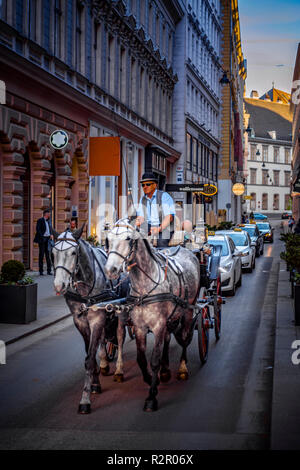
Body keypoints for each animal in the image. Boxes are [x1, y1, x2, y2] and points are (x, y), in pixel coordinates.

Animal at [52, 228, 127, 414]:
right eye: (53, 253)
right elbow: (90, 356)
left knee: (120, 337)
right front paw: (95, 384)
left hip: (121, 313)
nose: (59, 285)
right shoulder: (80, 322)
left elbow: (89, 359)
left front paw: (85, 400)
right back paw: (105, 363)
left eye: (73, 252)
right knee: (104, 340)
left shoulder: (97, 319)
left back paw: (119, 370)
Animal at [104, 219, 200, 412]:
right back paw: (165, 370)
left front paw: (151, 396)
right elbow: (141, 359)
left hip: (188, 310)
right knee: (168, 338)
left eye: (128, 238)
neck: (145, 287)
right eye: (108, 239)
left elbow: (154, 359)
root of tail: (185, 249)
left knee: (185, 338)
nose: (111, 270)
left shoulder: (158, 325)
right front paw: (150, 379)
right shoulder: (140, 327)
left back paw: (182, 368)